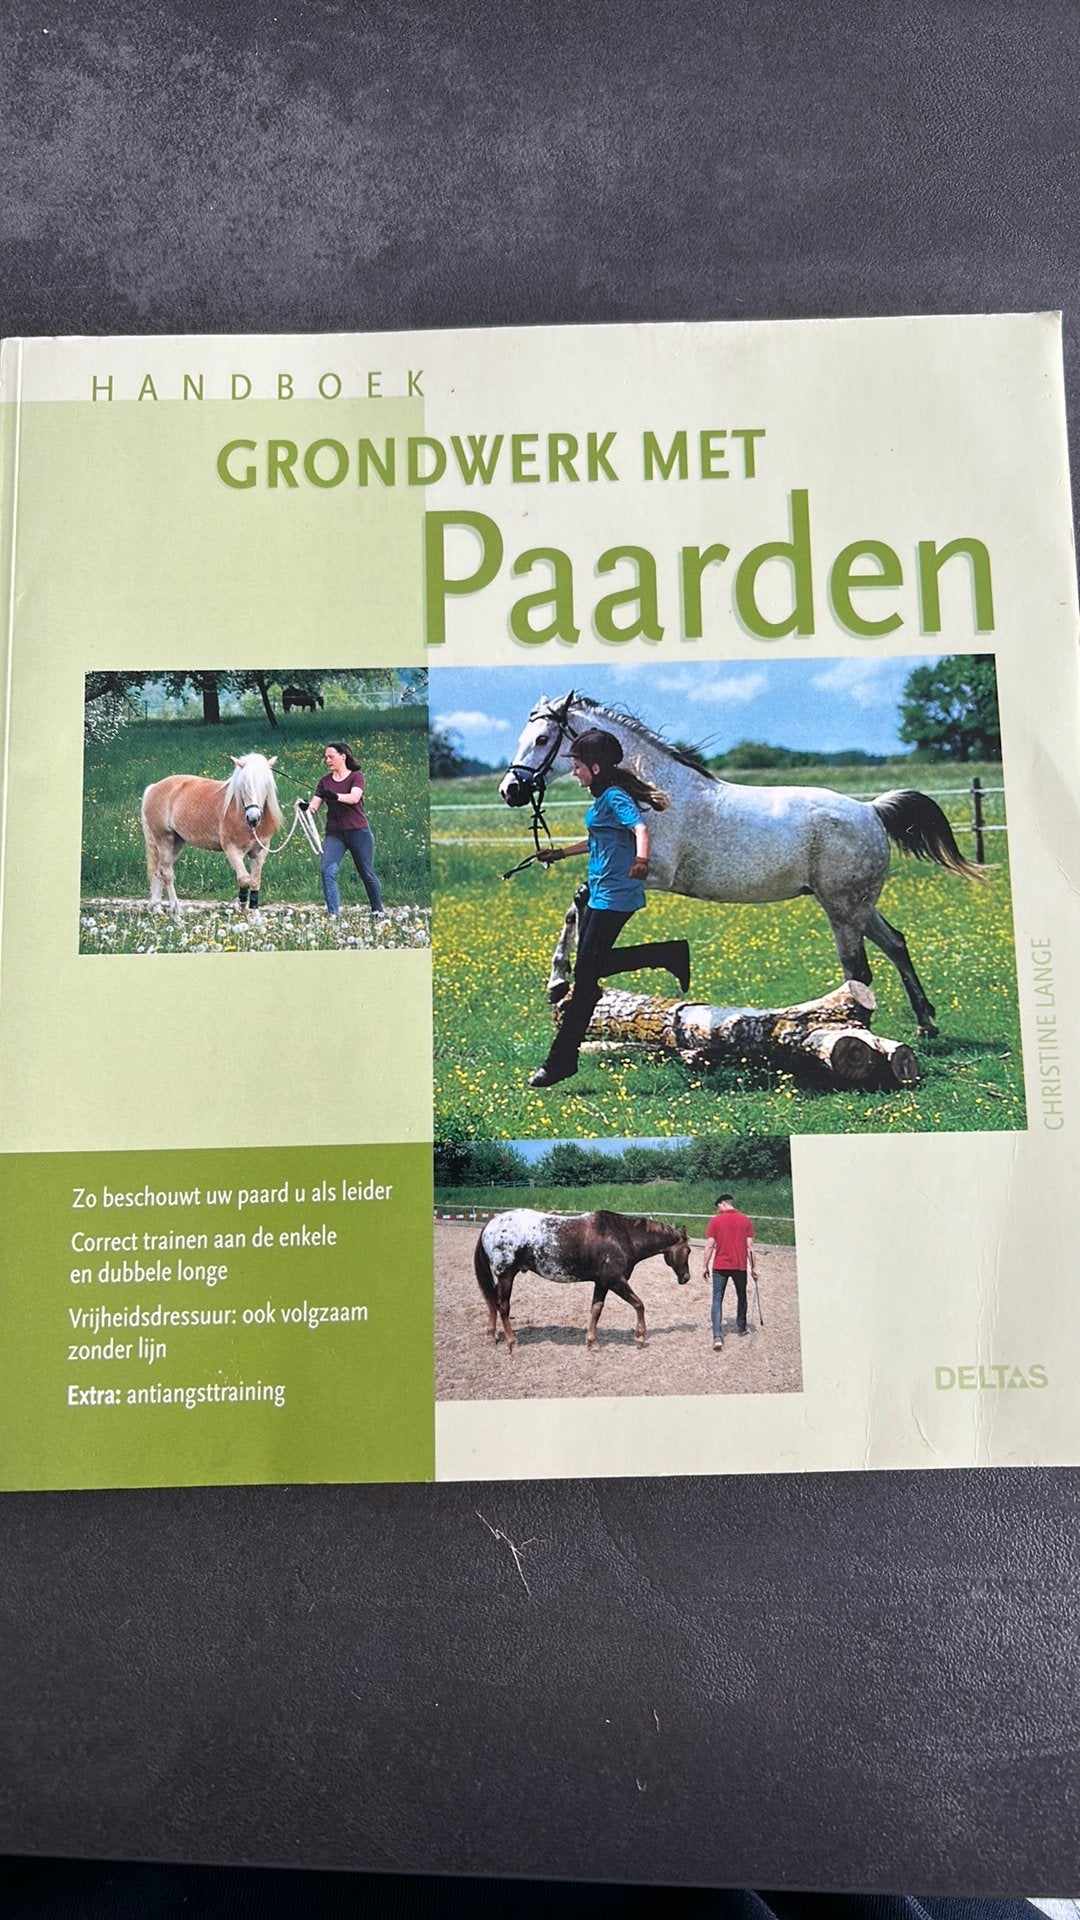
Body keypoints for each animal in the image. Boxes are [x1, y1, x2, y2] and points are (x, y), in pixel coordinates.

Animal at [141, 753, 283, 912]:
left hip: (176, 843)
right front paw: (241, 907)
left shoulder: (258, 853)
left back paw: (157, 908)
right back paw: (176, 909)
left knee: (159, 871)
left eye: (265, 785)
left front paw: (254, 913)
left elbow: (254, 881)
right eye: (244, 786)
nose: (253, 818)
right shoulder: (232, 850)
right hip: (164, 839)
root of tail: (153, 787)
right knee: (167, 873)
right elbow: (244, 879)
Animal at [474, 1208, 692, 1352]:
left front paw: (592, 1342)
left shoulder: (602, 1283)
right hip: (506, 1275)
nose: (686, 1278)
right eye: (688, 1250)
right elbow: (639, 1304)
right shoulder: (615, 1281)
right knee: (503, 1306)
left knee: (492, 1300)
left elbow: (596, 1309)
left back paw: (491, 1335)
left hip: (503, 1277)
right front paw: (640, 1336)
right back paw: (512, 1343)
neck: (623, 1237)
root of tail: (491, 1224)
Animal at [499, 692, 984, 1035]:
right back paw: (925, 1024)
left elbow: (581, 899)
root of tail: (870, 810)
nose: (510, 790)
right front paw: (562, 981)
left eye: (542, 739)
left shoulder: (649, 873)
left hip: (843, 909)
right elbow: (577, 906)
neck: (650, 792)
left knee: (858, 970)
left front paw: (559, 981)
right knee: (896, 944)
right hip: (858, 906)